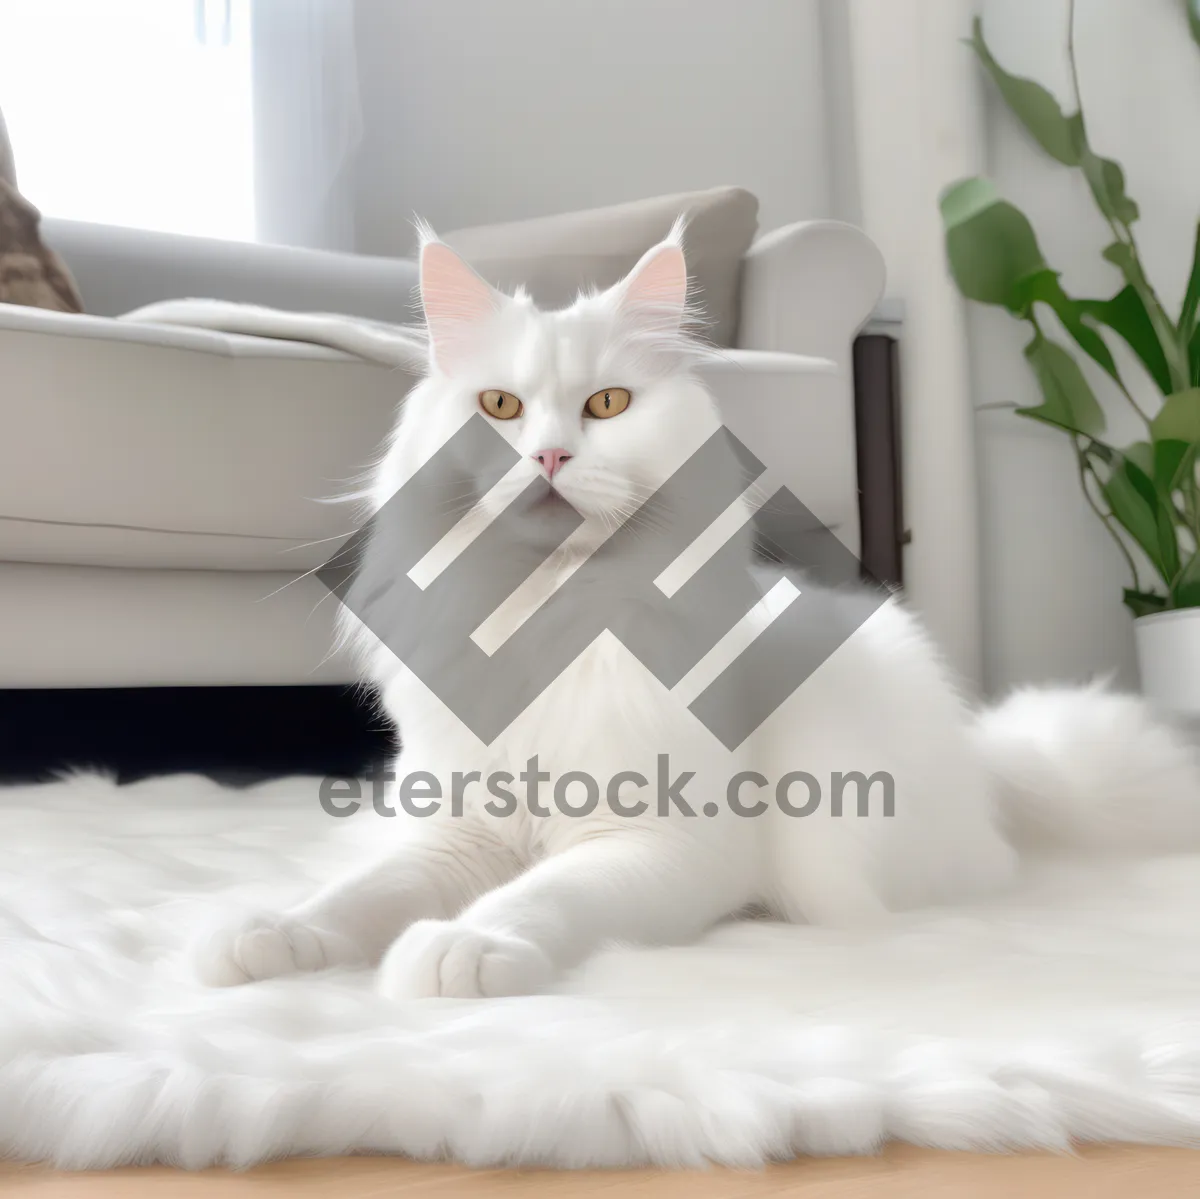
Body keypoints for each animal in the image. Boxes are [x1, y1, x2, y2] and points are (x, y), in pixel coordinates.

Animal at [192, 223, 1200, 993]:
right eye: (501, 407)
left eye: (607, 404)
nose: (548, 458)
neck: (548, 614)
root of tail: (980, 754)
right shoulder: (460, 832)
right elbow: (360, 894)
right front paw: (270, 933)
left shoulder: (660, 842)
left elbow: (537, 896)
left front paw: (463, 947)